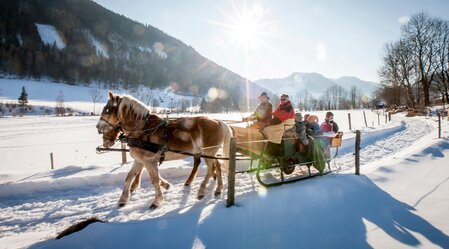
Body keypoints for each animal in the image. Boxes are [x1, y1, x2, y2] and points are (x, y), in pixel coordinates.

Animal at [97, 91, 231, 208]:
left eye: (107, 110)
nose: (98, 127)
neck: (143, 129)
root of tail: (218, 122)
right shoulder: (139, 160)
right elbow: (128, 178)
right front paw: (123, 200)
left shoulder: (149, 160)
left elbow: (155, 180)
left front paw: (157, 201)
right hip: (209, 152)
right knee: (217, 166)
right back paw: (216, 188)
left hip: (208, 152)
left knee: (211, 168)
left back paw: (204, 190)